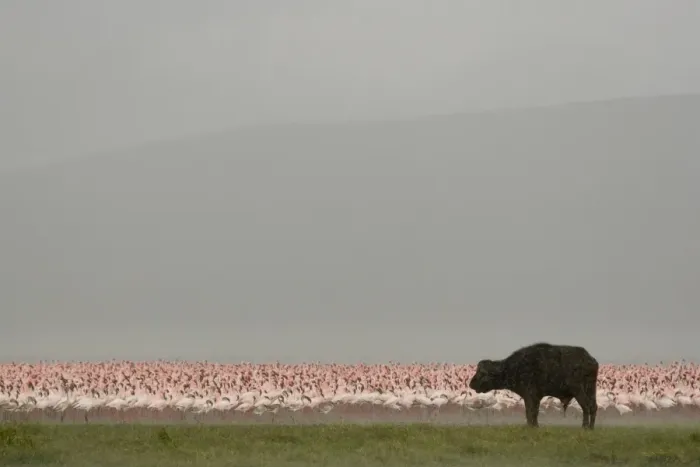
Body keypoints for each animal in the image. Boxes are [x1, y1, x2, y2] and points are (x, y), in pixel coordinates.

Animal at [469, 342, 599, 429]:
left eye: (482, 373)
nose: (471, 384)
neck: (515, 368)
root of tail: (590, 360)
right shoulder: (535, 397)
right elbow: (533, 412)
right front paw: (534, 426)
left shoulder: (530, 396)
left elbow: (530, 412)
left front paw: (531, 426)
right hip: (591, 389)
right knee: (593, 406)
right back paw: (591, 428)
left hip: (578, 390)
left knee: (586, 406)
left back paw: (584, 427)